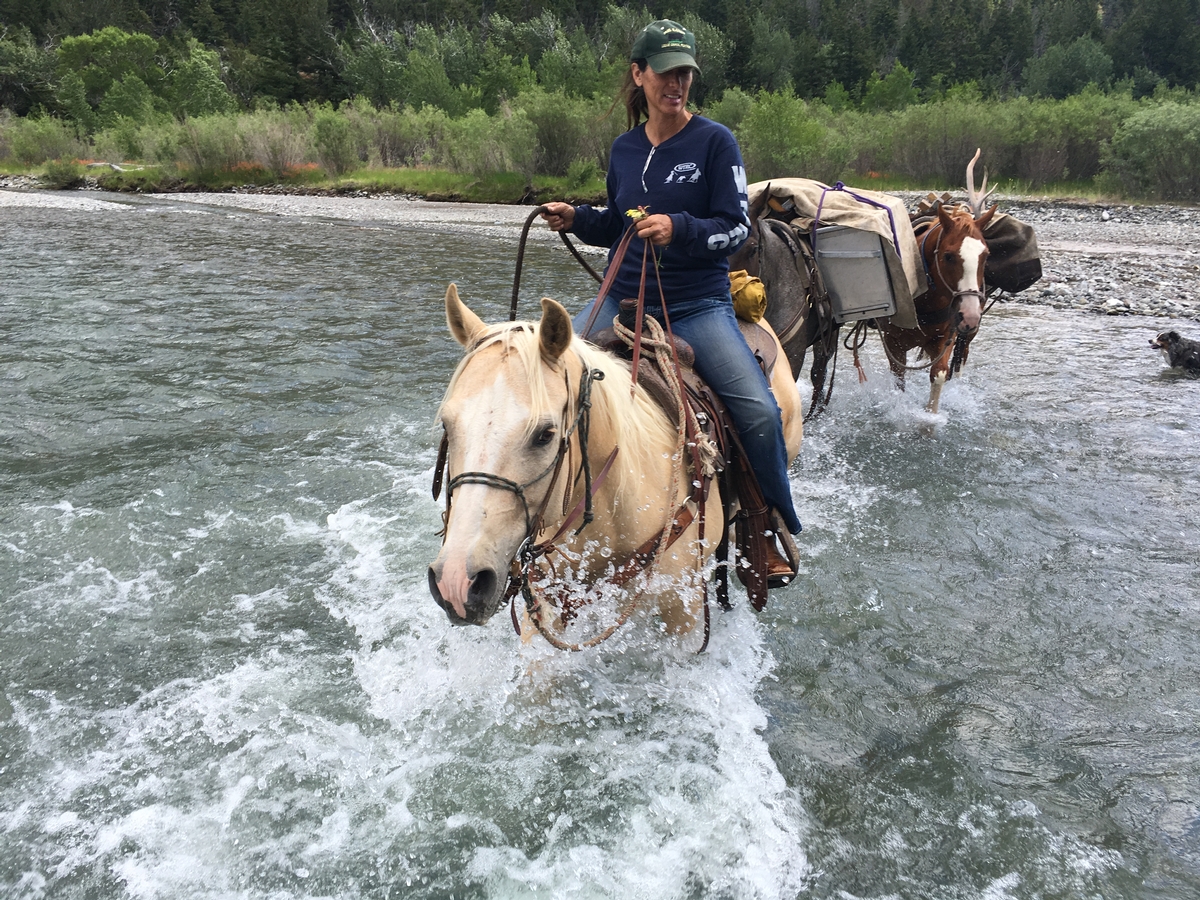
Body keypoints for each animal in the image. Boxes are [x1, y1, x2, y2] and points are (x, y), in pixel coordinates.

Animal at [878, 154, 998, 415]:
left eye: (986, 254)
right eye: (948, 256)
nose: (970, 315)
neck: (923, 298)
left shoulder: (946, 337)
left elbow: (940, 374)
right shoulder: (892, 342)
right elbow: (898, 380)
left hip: (967, 337)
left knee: (960, 361)